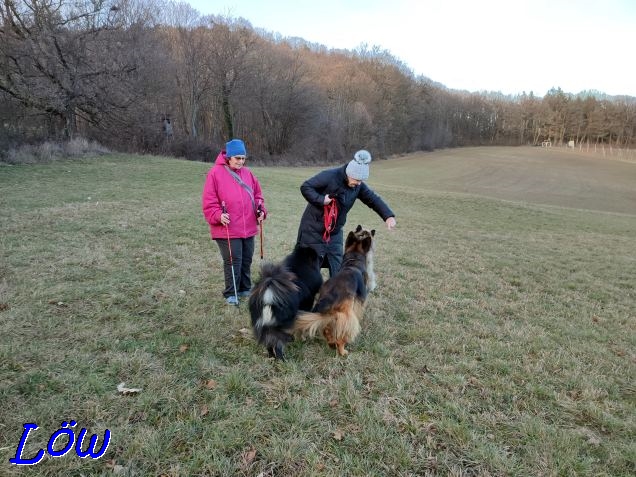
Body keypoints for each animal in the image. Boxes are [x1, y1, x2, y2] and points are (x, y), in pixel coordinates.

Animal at [294, 225, 378, 356]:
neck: (353, 261)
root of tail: (328, 298)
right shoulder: (359, 302)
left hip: (329, 318)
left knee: (327, 331)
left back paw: (331, 343)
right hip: (346, 318)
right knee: (341, 337)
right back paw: (343, 351)